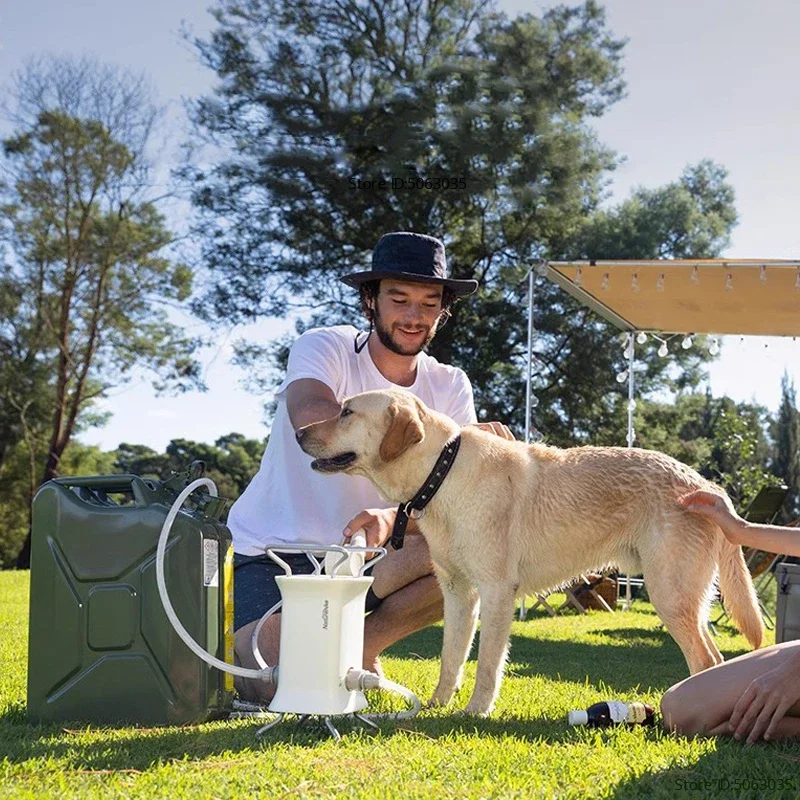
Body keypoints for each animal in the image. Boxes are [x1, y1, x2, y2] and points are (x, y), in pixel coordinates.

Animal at [296, 386, 764, 712]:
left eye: (346, 411)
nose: (298, 432)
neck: (442, 471)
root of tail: (706, 484)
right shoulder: (457, 594)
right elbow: (451, 659)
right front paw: (436, 706)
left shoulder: (497, 593)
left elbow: (487, 663)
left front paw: (475, 712)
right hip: (683, 598)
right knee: (714, 657)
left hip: (670, 594)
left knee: (704, 657)